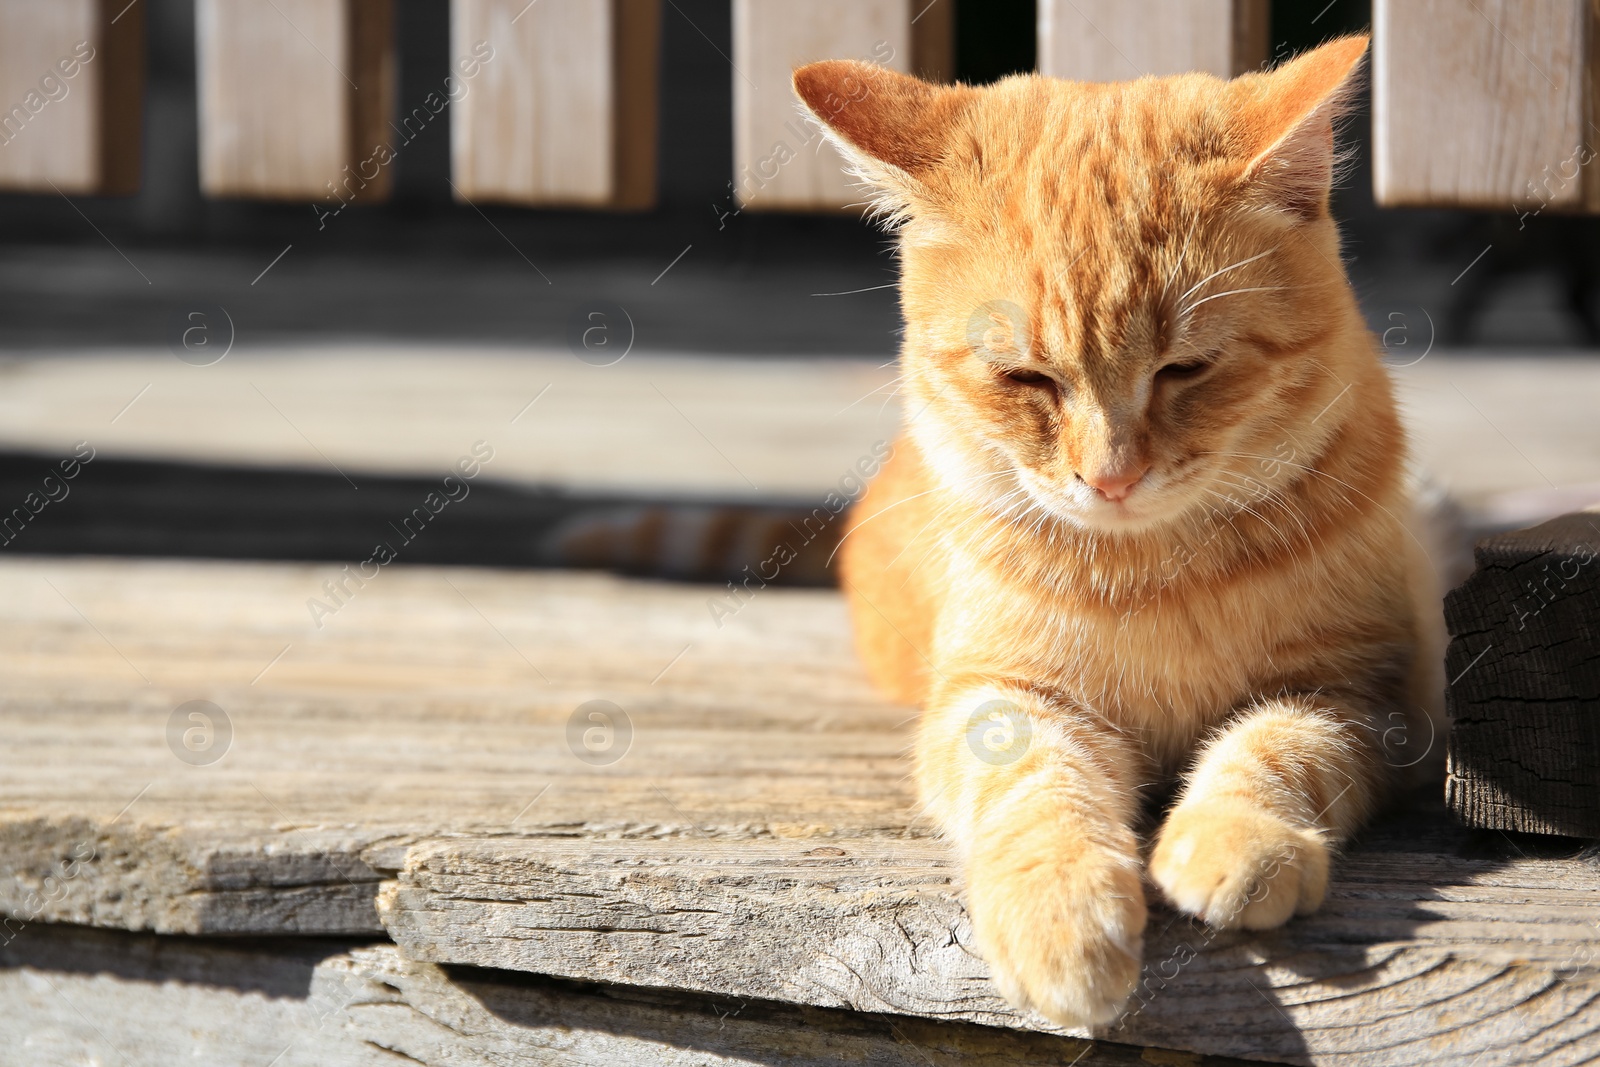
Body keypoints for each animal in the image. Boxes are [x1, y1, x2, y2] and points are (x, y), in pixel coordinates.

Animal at [793, 37, 1446, 1030]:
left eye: (1187, 368)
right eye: (1025, 377)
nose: (1111, 477)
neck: (1159, 572)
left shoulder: (1366, 695)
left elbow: (1277, 746)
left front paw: (1235, 838)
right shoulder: (996, 696)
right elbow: (1037, 782)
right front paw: (1062, 914)